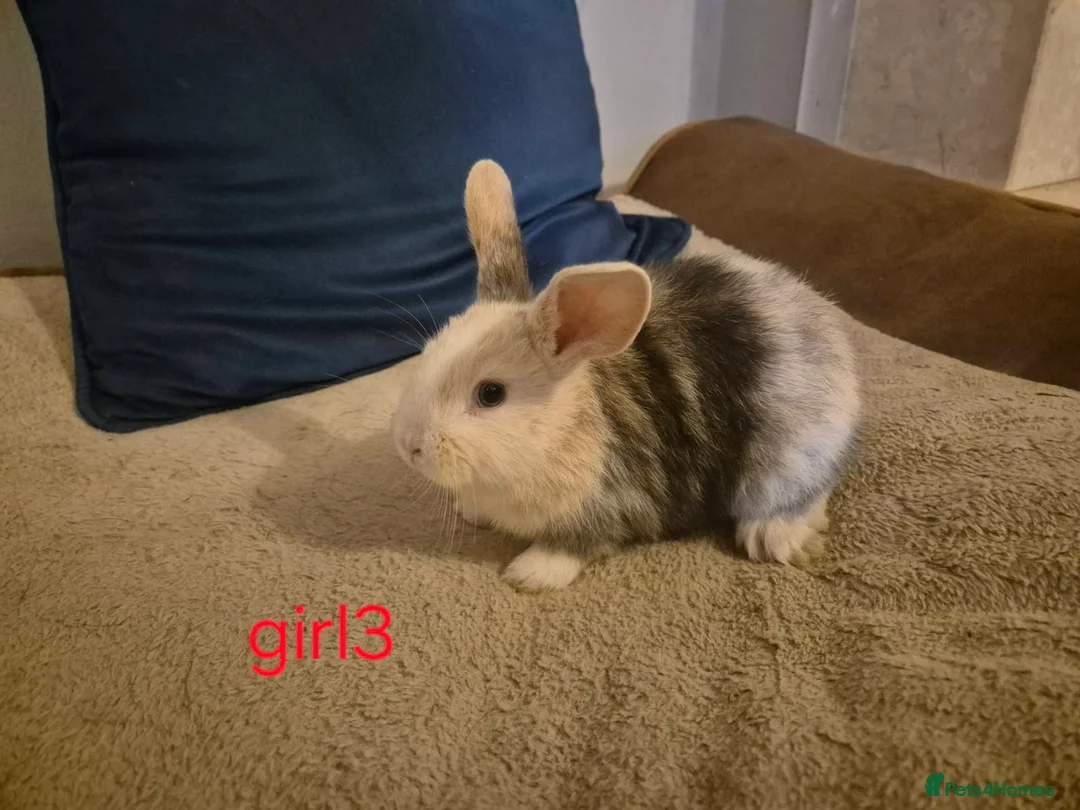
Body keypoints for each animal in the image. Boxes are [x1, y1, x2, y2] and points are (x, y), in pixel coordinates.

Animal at [391, 159, 860, 591]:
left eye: (491, 393)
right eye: (426, 354)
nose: (409, 447)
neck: (564, 428)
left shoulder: (613, 505)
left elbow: (578, 545)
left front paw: (530, 573)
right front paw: (469, 511)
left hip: (788, 459)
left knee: (807, 494)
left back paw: (775, 538)